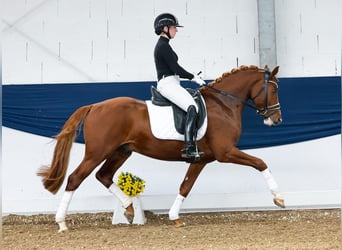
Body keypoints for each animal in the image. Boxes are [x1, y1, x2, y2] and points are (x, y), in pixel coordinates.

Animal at [37, 65, 284, 232]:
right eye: (273, 91)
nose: (277, 120)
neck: (223, 105)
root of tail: (94, 106)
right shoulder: (226, 152)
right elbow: (261, 163)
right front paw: (279, 198)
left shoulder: (202, 159)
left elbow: (185, 186)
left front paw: (175, 217)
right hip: (97, 152)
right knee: (75, 178)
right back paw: (62, 223)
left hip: (121, 151)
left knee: (103, 176)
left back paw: (129, 207)